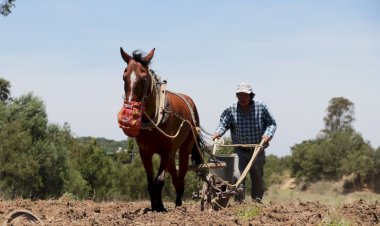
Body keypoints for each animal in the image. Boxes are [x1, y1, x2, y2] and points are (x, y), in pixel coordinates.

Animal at [118, 47, 202, 212]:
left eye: (144, 77)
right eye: (124, 76)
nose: (129, 112)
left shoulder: (165, 150)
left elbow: (160, 180)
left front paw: (160, 208)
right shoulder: (145, 152)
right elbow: (151, 182)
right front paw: (155, 207)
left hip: (185, 148)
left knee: (181, 174)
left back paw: (178, 204)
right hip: (172, 154)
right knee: (175, 176)